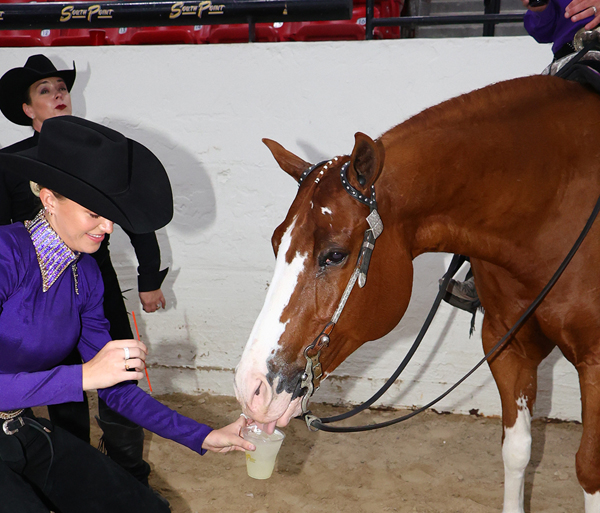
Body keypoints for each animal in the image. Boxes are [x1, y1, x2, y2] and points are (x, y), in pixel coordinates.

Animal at [236, 74, 600, 510]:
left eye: (335, 254)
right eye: (277, 243)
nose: (250, 387)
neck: (552, 212)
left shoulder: (596, 363)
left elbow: (589, 470)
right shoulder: (507, 344)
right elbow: (517, 450)